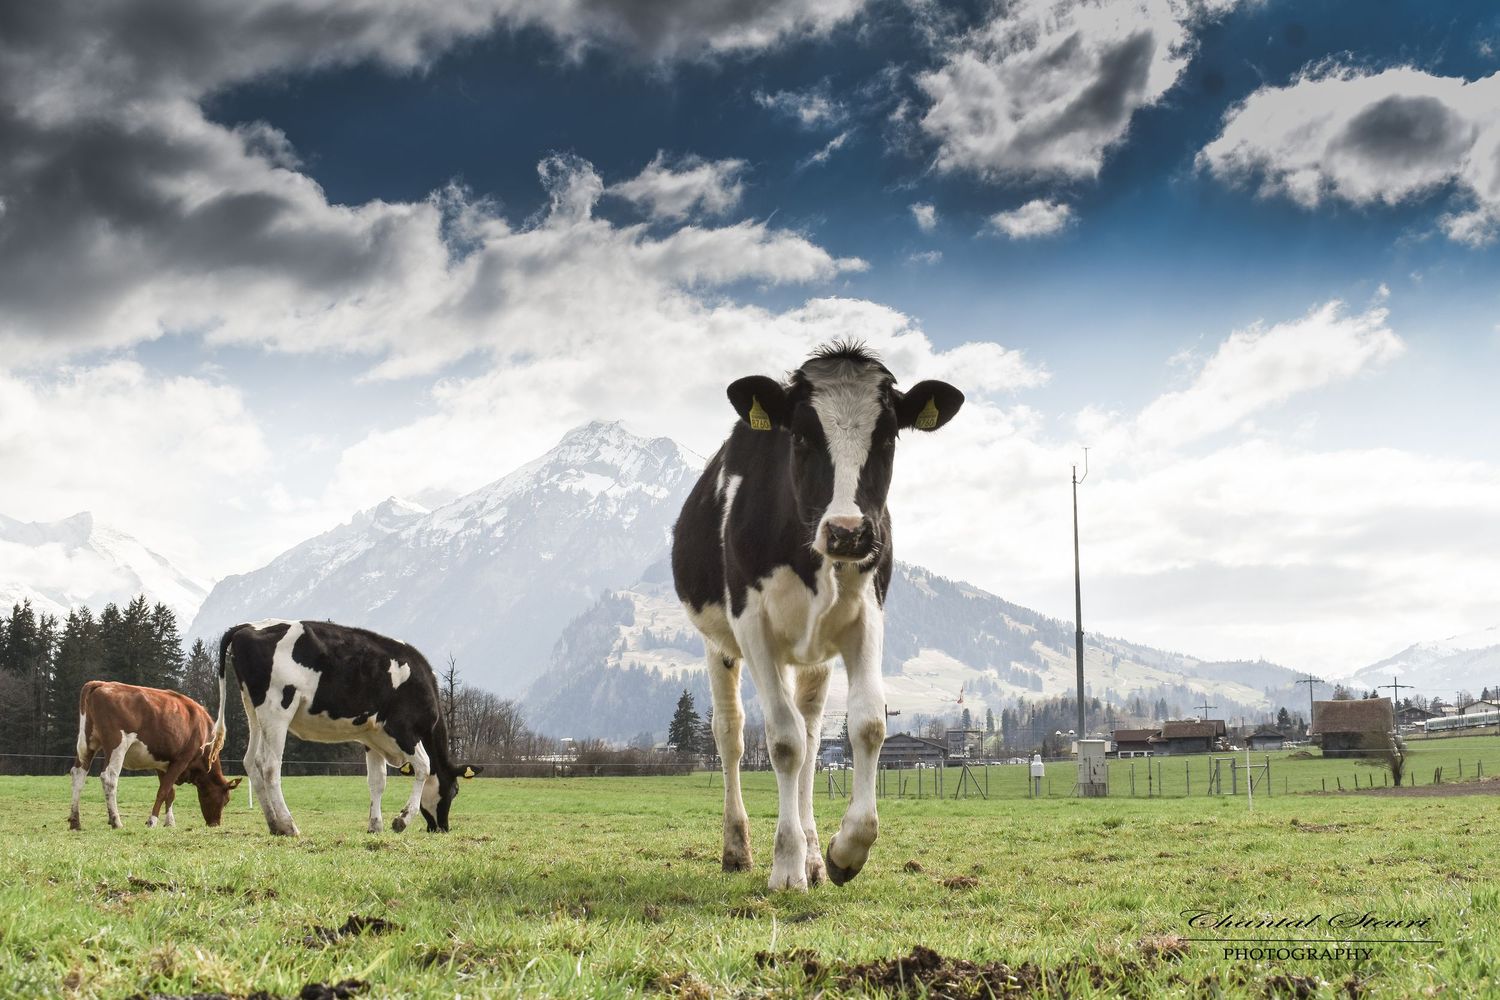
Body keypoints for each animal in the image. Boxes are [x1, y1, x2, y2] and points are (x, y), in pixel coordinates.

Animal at [69, 680, 241, 830]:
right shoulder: (181, 760)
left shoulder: (162, 764)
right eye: (226, 800)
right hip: (117, 745)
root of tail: (102, 684)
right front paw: (152, 821)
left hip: (87, 744)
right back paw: (116, 821)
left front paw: (169, 822)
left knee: (78, 775)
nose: (215, 824)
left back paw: (75, 821)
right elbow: (163, 791)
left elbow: (170, 793)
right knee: (109, 777)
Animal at [215, 619, 480, 836]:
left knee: (251, 761)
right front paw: (402, 820)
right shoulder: (404, 730)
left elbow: (377, 780)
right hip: (277, 710)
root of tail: (247, 626)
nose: (443, 828)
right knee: (269, 765)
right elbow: (424, 767)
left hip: (253, 711)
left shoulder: (372, 737)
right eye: (455, 790)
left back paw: (274, 824)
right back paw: (288, 825)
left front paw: (375, 825)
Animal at [671, 341, 963, 890]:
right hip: (721, 645)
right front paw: (785, 868)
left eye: (888, 436)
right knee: (733, 734)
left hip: (815, 655)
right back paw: (738, 849)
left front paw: (842, 852)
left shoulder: (867, 617)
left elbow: (865, 725)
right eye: (802, 436)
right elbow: (782, 742)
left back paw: (811, 853)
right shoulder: (752, 625)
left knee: (810, 734)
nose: (847, 531)